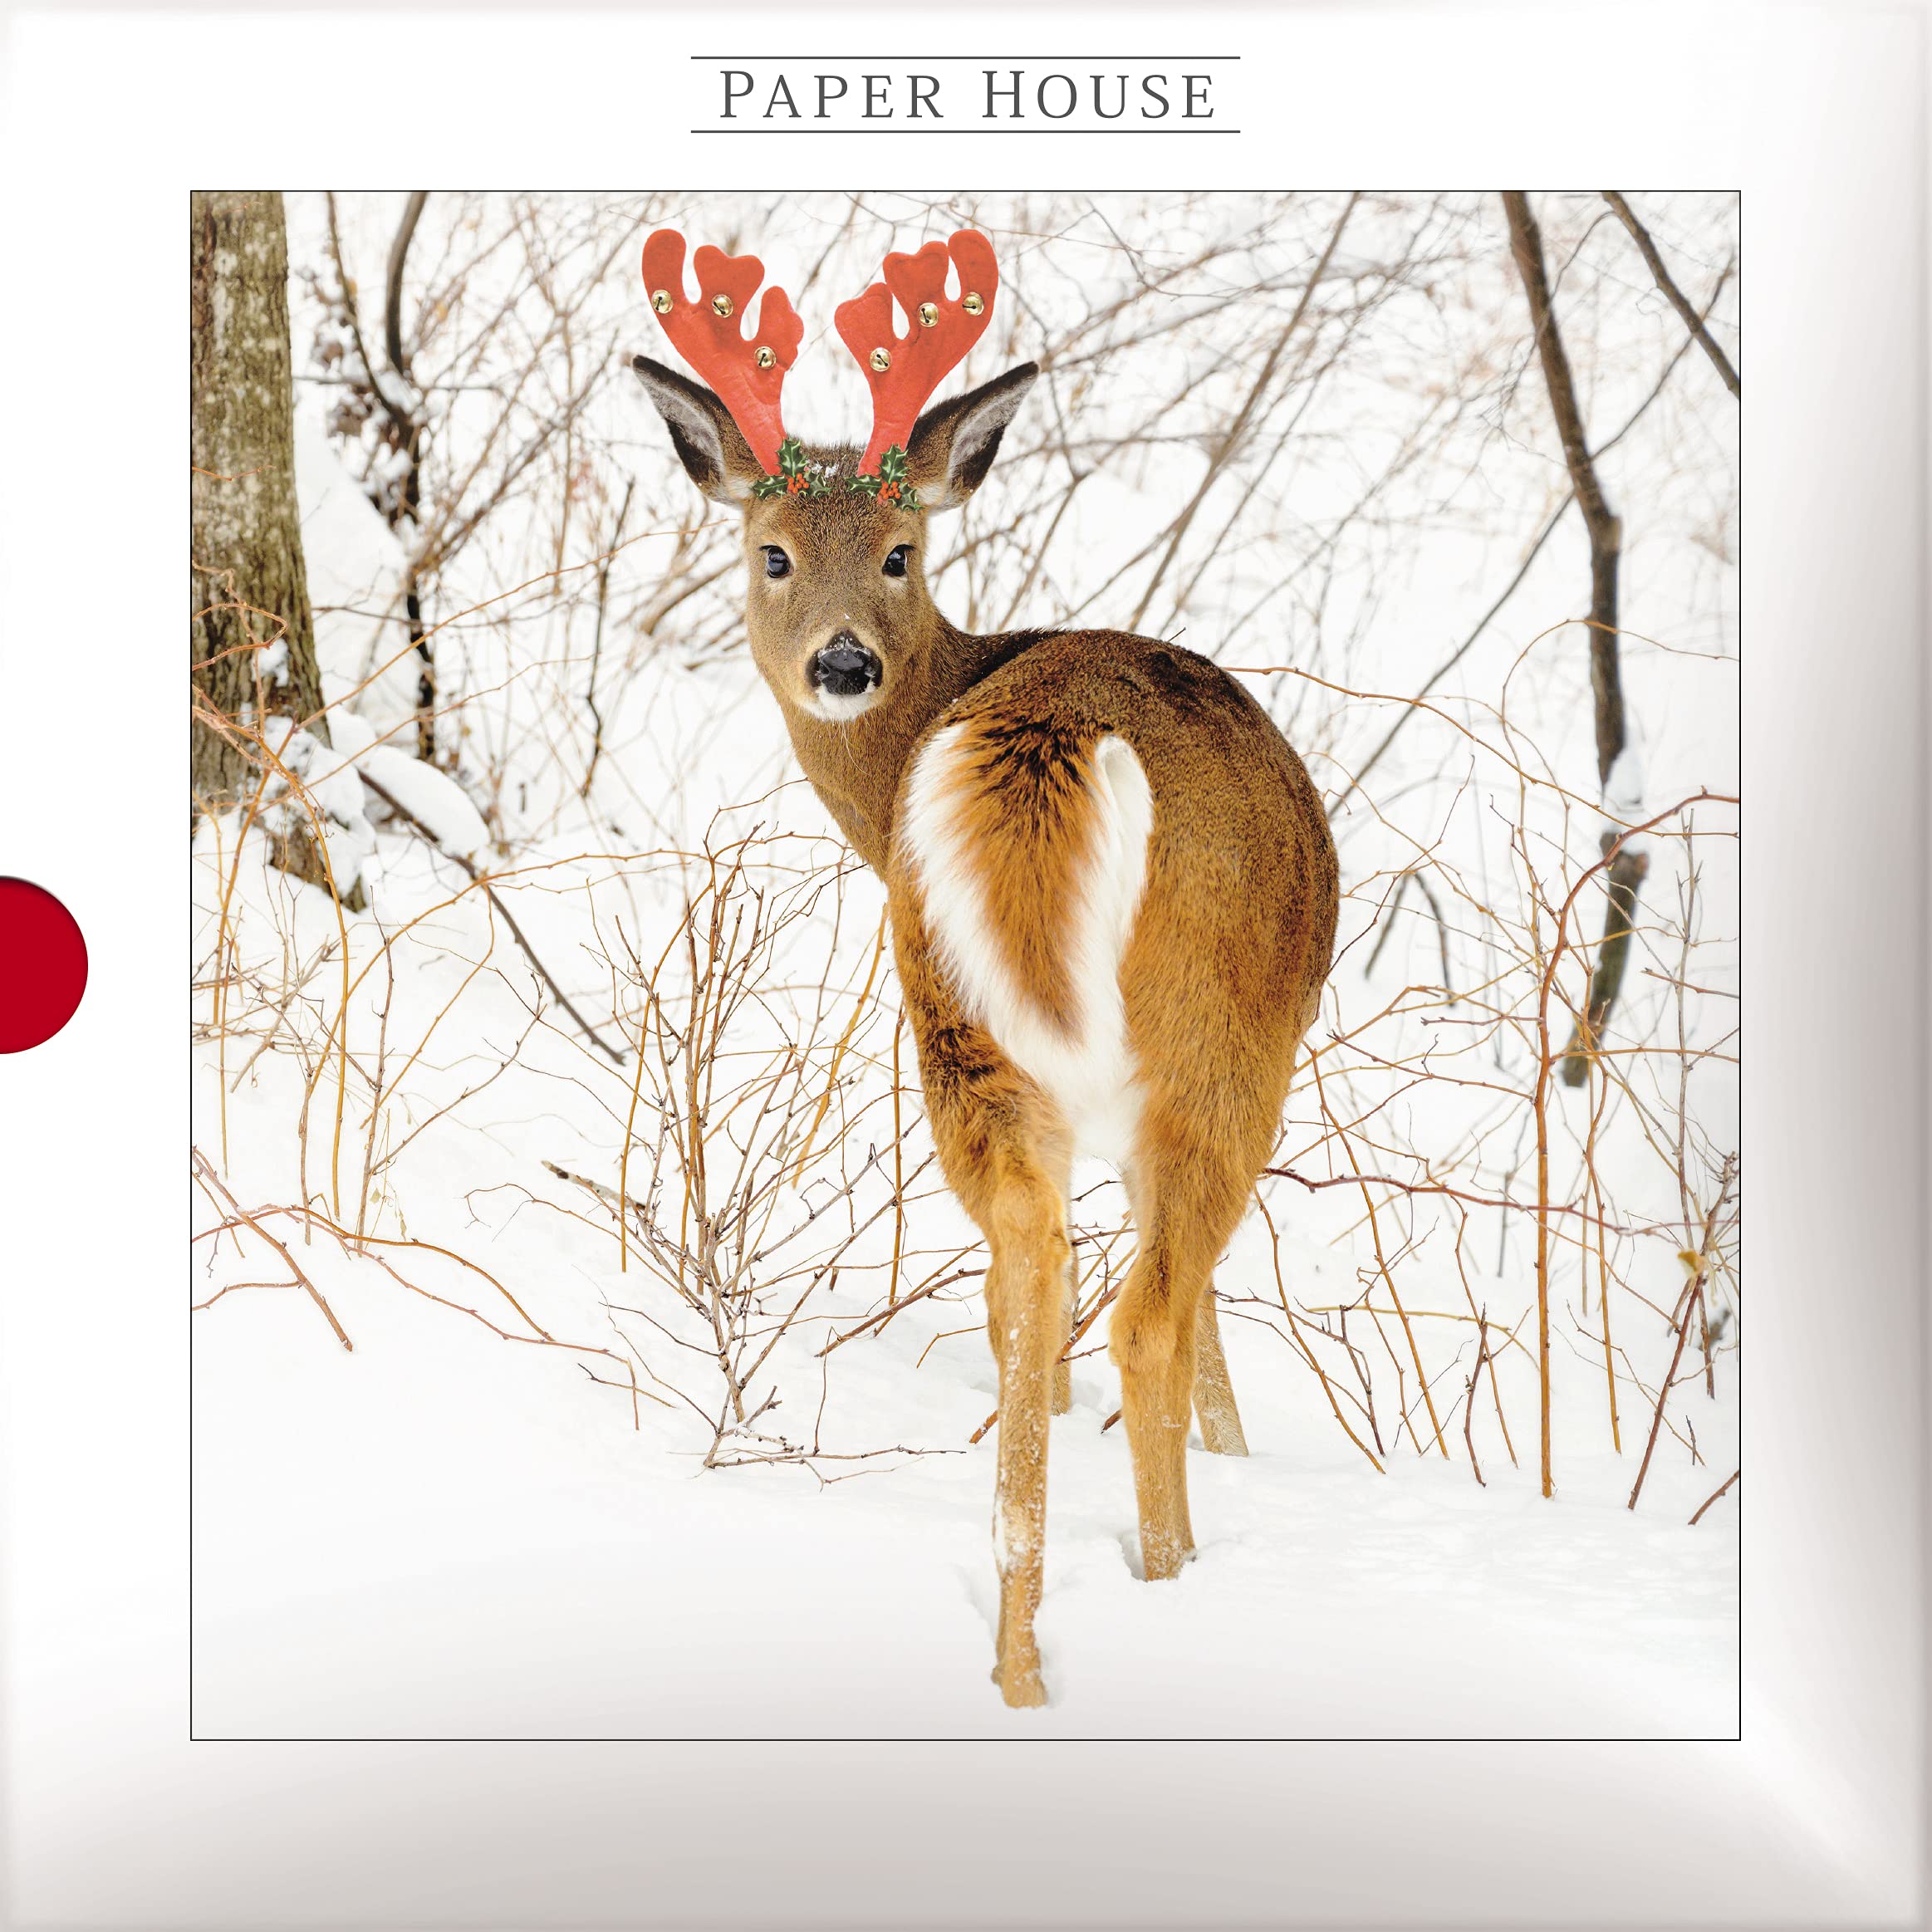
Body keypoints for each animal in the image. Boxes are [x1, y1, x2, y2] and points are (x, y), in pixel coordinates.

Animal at [631, 226, 1338, 1708]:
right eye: (771, 553)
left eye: (900, 551)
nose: (844, 660)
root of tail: (1046, 742)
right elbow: (1209, 1333)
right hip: (1221, 1034)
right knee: (1141, 1314)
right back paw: (1169, 1583)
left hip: (956, 1023)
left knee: (1031, 1279)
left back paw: (1019, 1667)